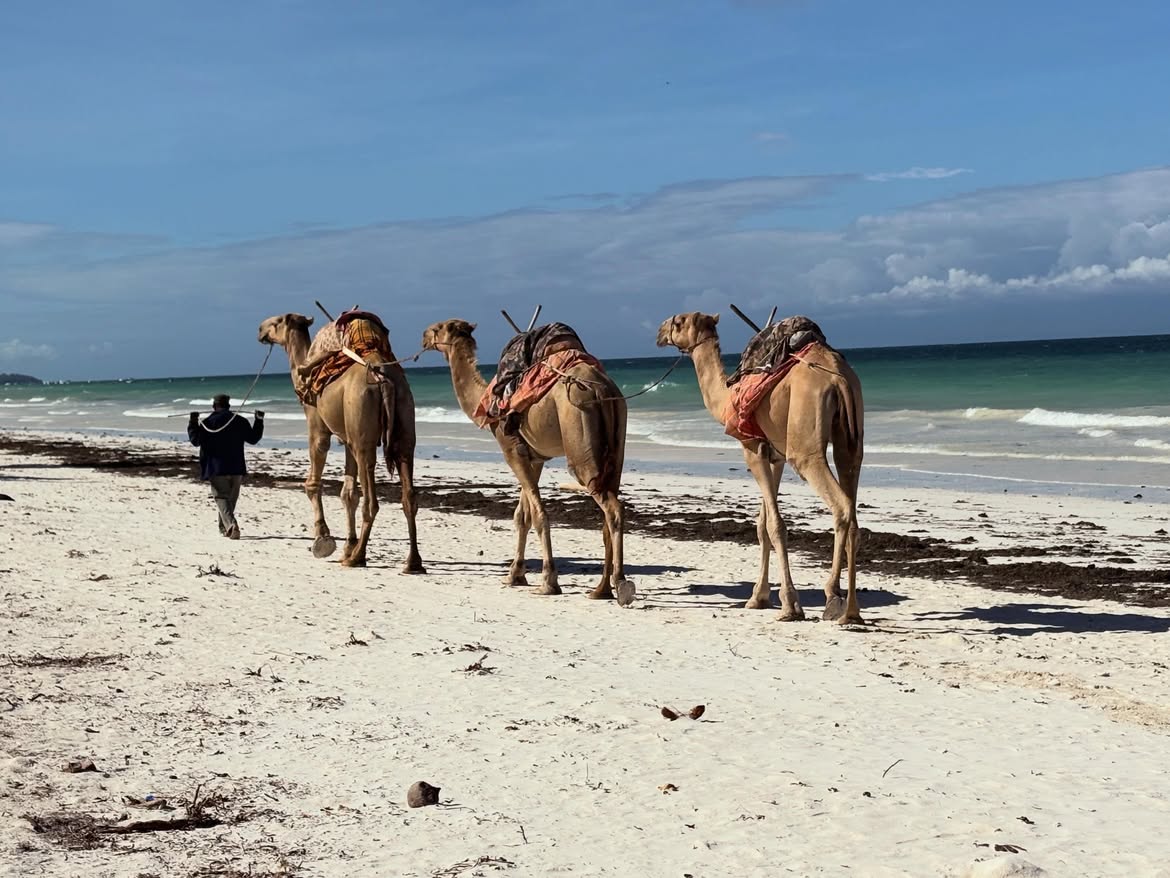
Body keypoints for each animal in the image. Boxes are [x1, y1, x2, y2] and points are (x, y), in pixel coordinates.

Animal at [257, 313, 424, 573]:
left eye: (276, 322)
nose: (260, 330)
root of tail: (383, 379)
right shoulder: (346, 438)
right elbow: (348, 493)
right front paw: (347, 545)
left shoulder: (318, 426)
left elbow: (313, 482)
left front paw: (323, 538)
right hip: (404, 416)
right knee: (408, 494)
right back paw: (412, 562)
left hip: (363, 426)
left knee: (372, 501)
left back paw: (357, 558)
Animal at [420, 319, 633, 605]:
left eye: (438, 328)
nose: (423, 337)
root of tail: (601, 388)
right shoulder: (534, 458)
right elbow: (522, 515)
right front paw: (515, 575)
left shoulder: (511, 449)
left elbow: (538, 515)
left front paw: (547, 582)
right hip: (617, 442)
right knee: (609, 508)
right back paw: (601, 589)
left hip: (580, 438)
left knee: (611, 507)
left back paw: (620, 585)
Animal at [657, 312, 864, 624]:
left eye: (679, 321)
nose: (660, 332)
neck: (728, 396)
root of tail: (837, 377)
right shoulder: (774, 455)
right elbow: (762, 524)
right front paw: (758, 597)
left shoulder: (752, 449)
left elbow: (774, 524)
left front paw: (789, 605)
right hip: (850, 439)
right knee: (851, 501)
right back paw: (848, 608)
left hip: (805, 449)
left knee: (840, 505)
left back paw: (837, 601)